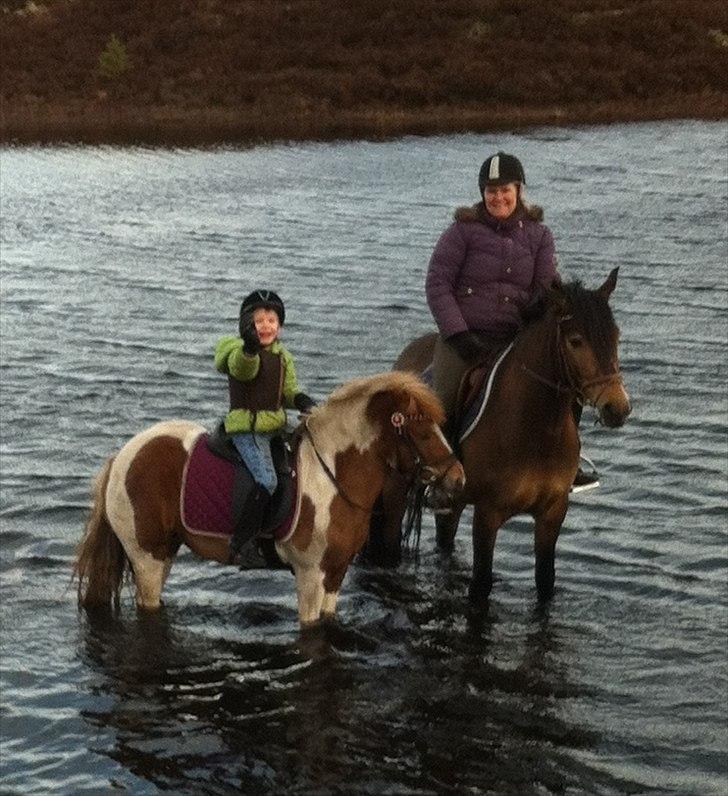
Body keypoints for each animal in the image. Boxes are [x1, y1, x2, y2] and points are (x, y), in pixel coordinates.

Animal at [75, 372, 466, 628]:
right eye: (420, 429)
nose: (458, 478)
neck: (333, 477)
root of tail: (124, 455)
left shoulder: (335, 572)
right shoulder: (310, 575)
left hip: (164, 551)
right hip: (146, 557)